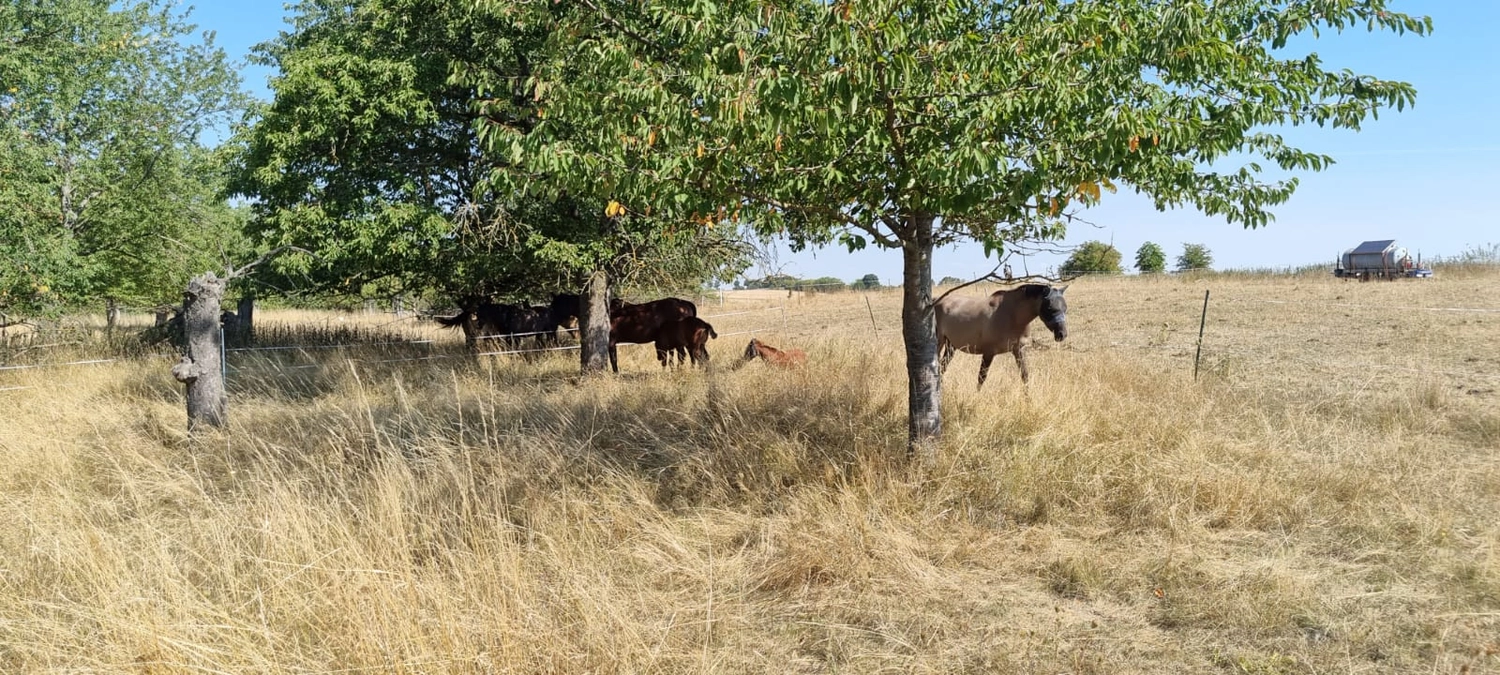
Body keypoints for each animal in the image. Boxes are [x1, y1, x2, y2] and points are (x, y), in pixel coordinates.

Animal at [935, 283, 1068, 388]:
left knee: (942, 367)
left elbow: (1025, 376)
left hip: (951, 346)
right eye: (1050, 308)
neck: (1012, 315)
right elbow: (981, 378)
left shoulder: (1019, 350)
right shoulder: (988, 353)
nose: (1062, 334)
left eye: (1065, 308)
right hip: (939, 343)